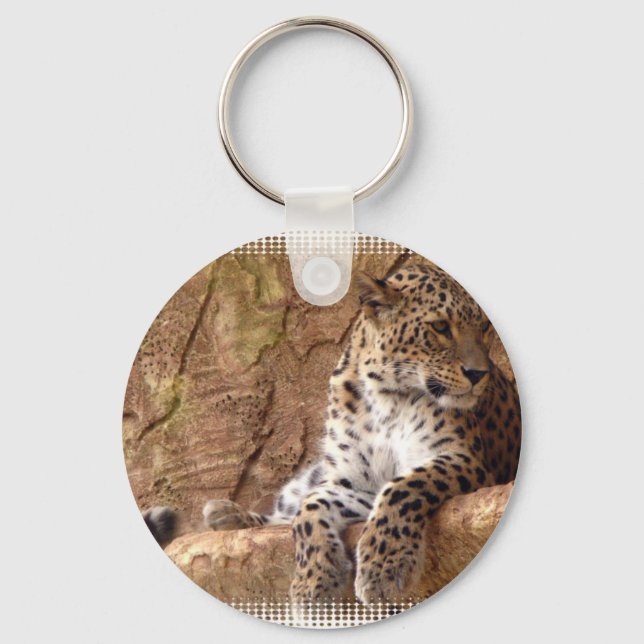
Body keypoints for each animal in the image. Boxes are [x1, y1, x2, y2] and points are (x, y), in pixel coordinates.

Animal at [145, 264, 521, 608]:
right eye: (440, 326)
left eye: (484, 329)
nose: (479, 374)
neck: (389, 398)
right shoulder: (353, 480)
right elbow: (308, 510)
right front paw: (314, 581)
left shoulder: (464, 459)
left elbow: (403, 486)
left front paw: (383, 568)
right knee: (283, 512)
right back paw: (227, 515)